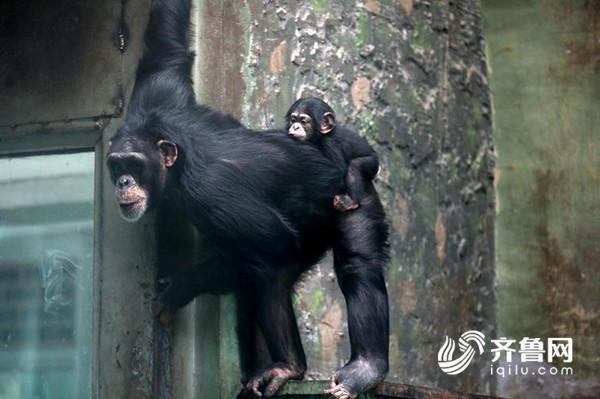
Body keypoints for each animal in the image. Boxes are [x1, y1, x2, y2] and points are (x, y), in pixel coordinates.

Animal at [105, 1, 390, 398]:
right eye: (117, 164)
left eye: (134, 164)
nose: (123, 181)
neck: (176, 162)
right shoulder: (157, 93)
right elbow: (168, 48)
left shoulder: (213, 192)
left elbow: (276, 247)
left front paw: (182, 286)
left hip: (353, 192)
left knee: (352, 266)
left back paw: (351, 367)